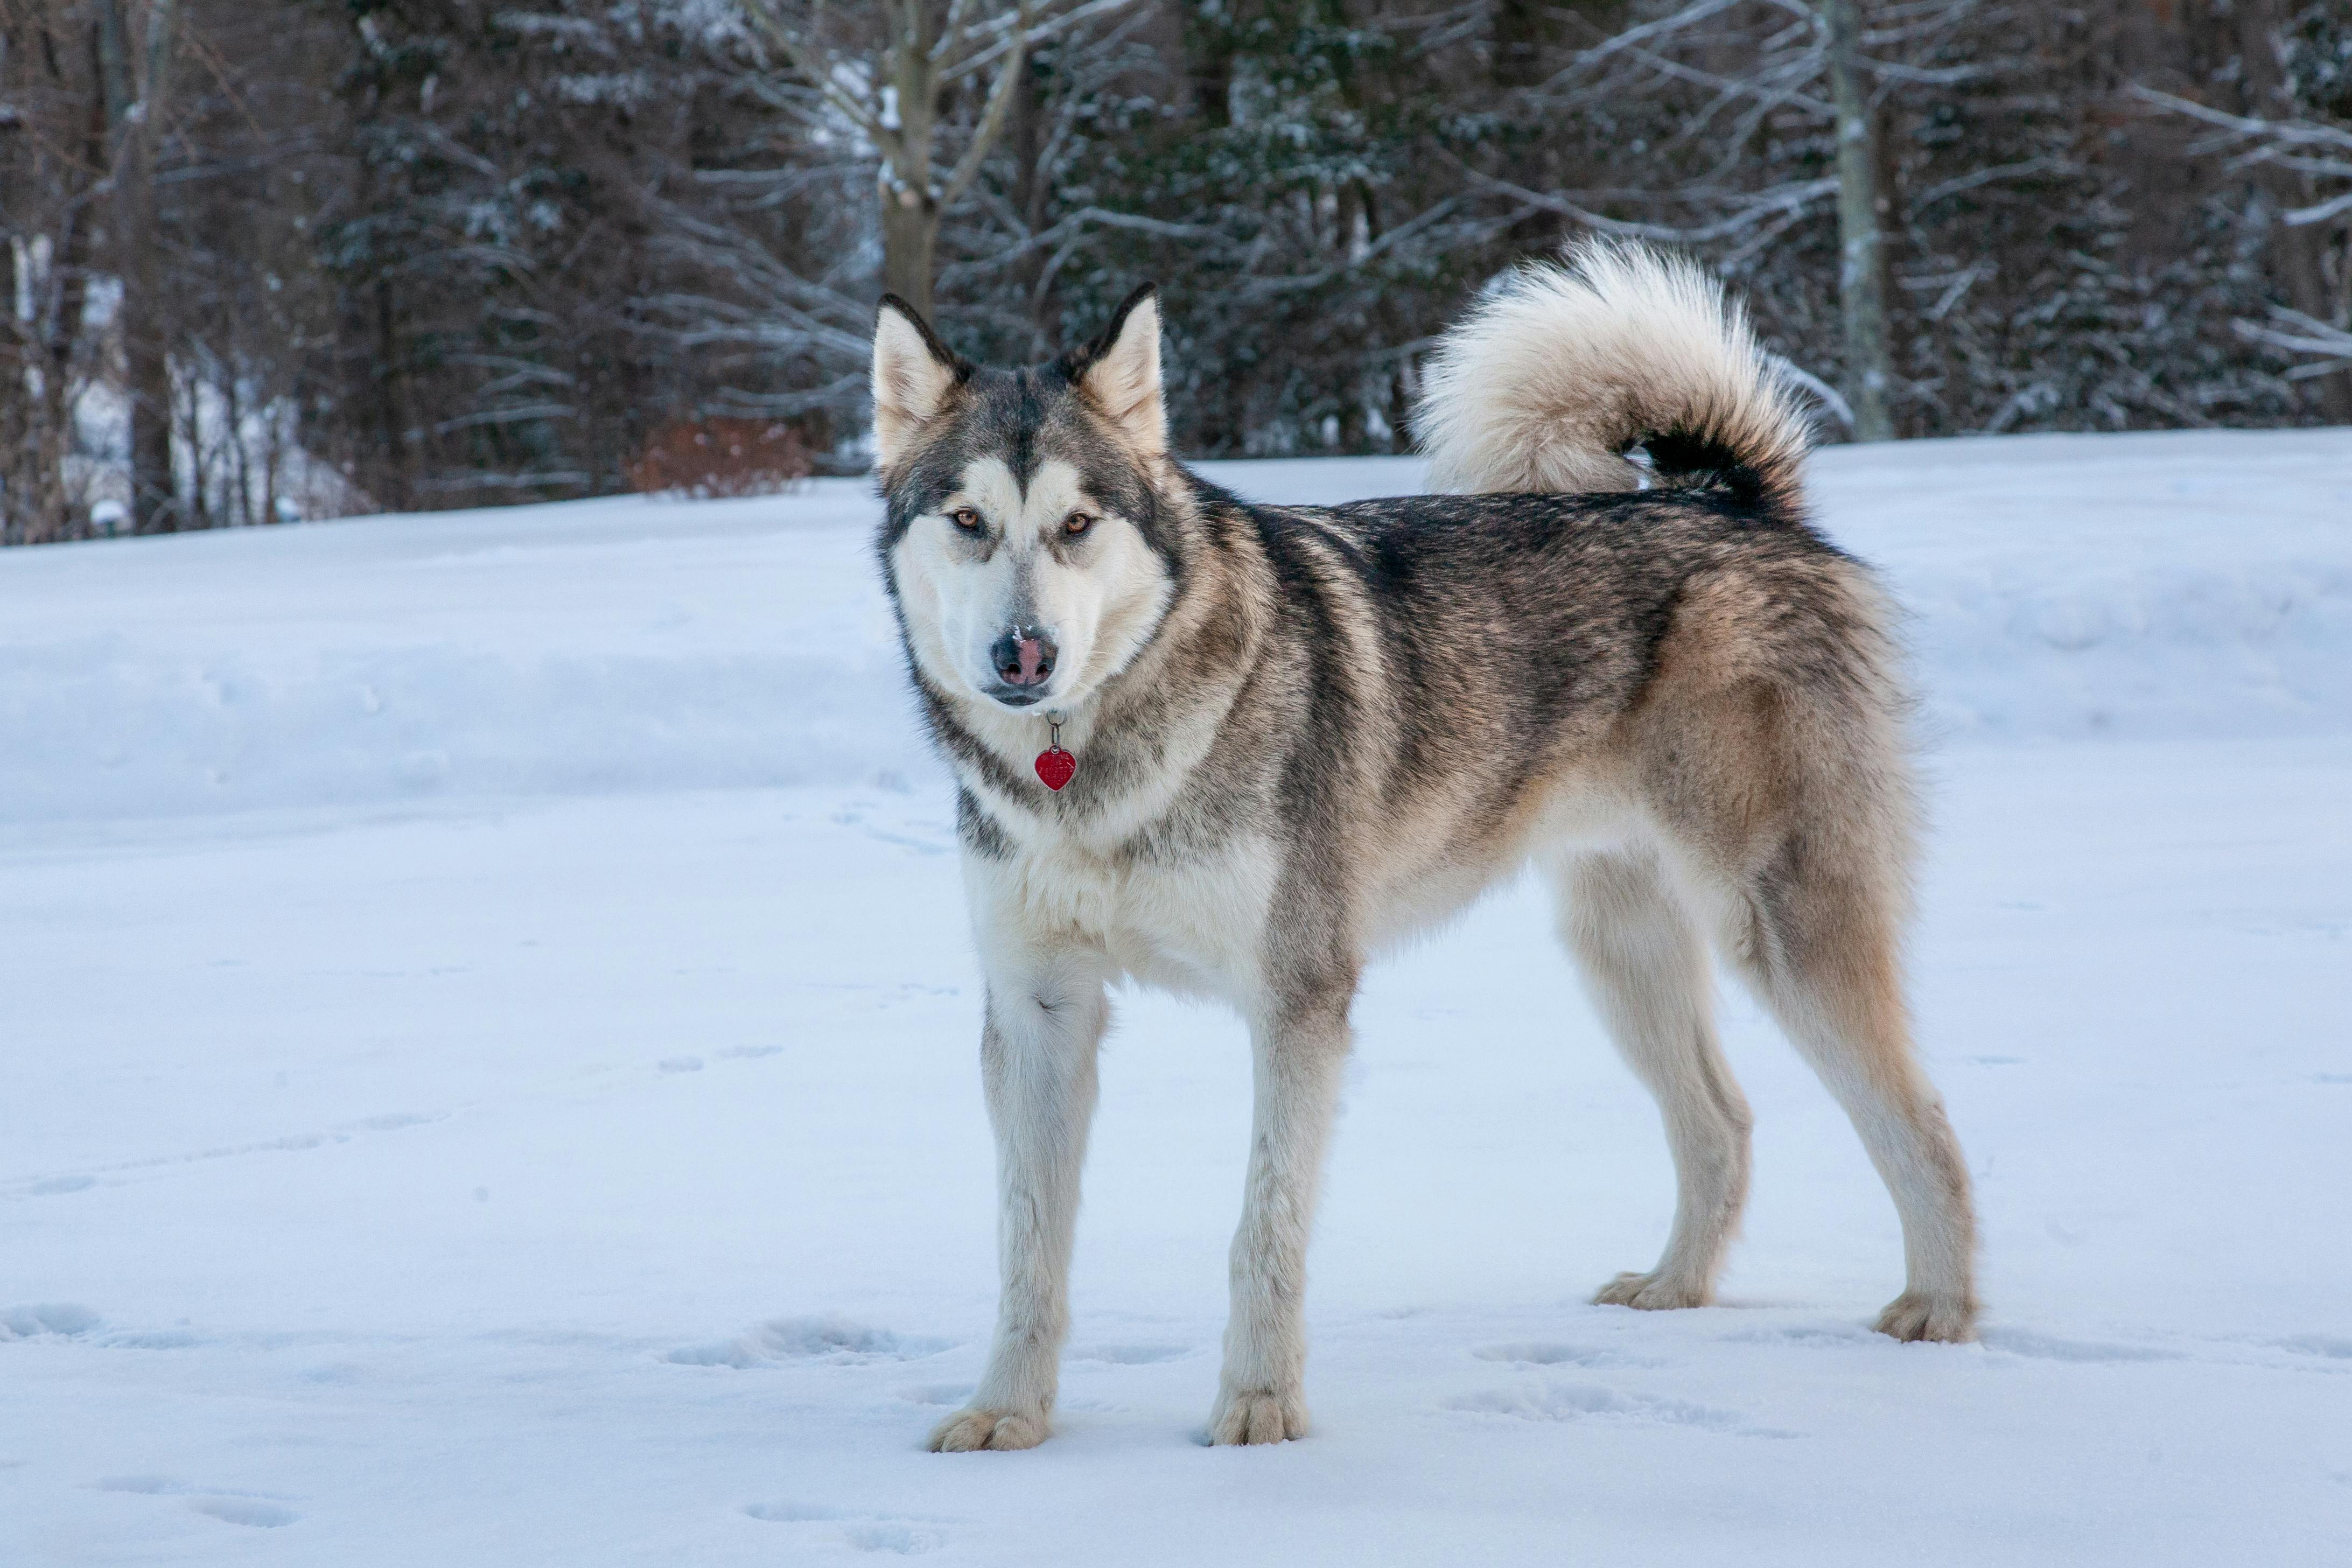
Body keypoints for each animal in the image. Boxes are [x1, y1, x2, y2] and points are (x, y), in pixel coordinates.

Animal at [874, 246, 1976, 1457]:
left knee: (1923, 1123)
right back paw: (1674, 1290)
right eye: (968, 520)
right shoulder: (1037, 1010)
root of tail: (1738, 507)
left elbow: (1263, 1228)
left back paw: (1941, 1310)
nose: (1021, 654)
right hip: (1619, 950)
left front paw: (1259, 1407)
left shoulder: (1298, 998)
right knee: (1722, 1123)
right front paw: (1008, 1412)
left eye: (1078, 524)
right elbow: (1028, 1245)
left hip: (1778, 929)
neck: (1088, 769)